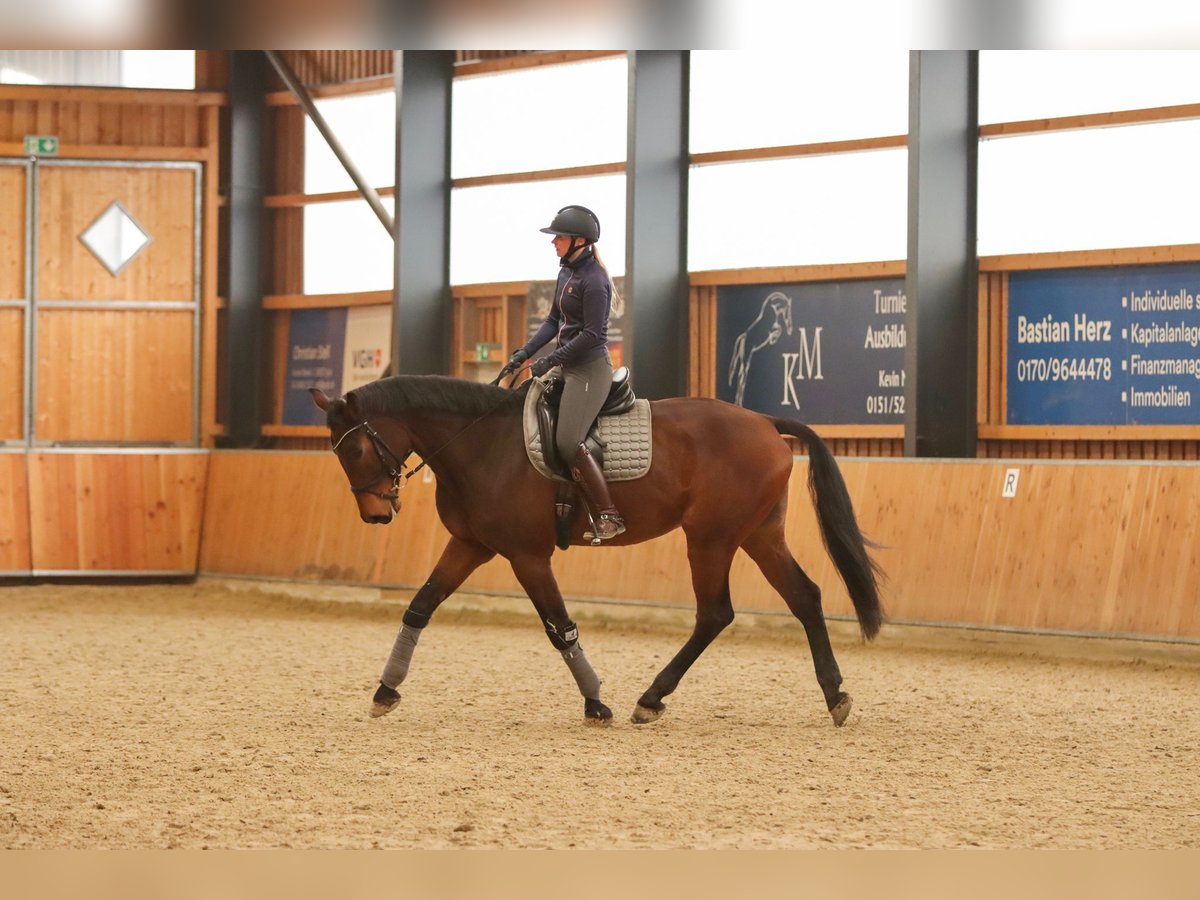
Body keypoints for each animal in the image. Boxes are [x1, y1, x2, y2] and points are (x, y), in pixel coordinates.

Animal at [314, 376, 888, 729]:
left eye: (356, 448)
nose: (376, 514)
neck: (481, 445)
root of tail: (765, 421)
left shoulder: (527, 556)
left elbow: (560, 627)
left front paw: (595, 702)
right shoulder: (471, 545)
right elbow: (420, 607)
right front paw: (385, 692)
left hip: (711, 537)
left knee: (715, 613)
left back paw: (650, 699)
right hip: (757, 534)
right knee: (804, 597)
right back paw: (835, 696)